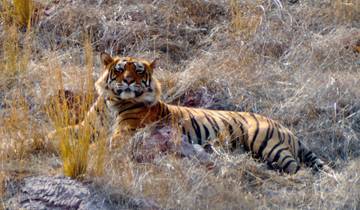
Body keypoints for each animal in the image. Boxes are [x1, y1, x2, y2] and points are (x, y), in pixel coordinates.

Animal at [47, 52, 326, 174]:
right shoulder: (87, 127)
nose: (127, 81)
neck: (113, 102)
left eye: (138, 70)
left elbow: (102, 144)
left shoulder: (124, 133)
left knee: (297, 169)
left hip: (266, 142)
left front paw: (87, 150)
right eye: (119, 69)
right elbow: (59, 133)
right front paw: (42, 139)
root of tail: (286, 127)